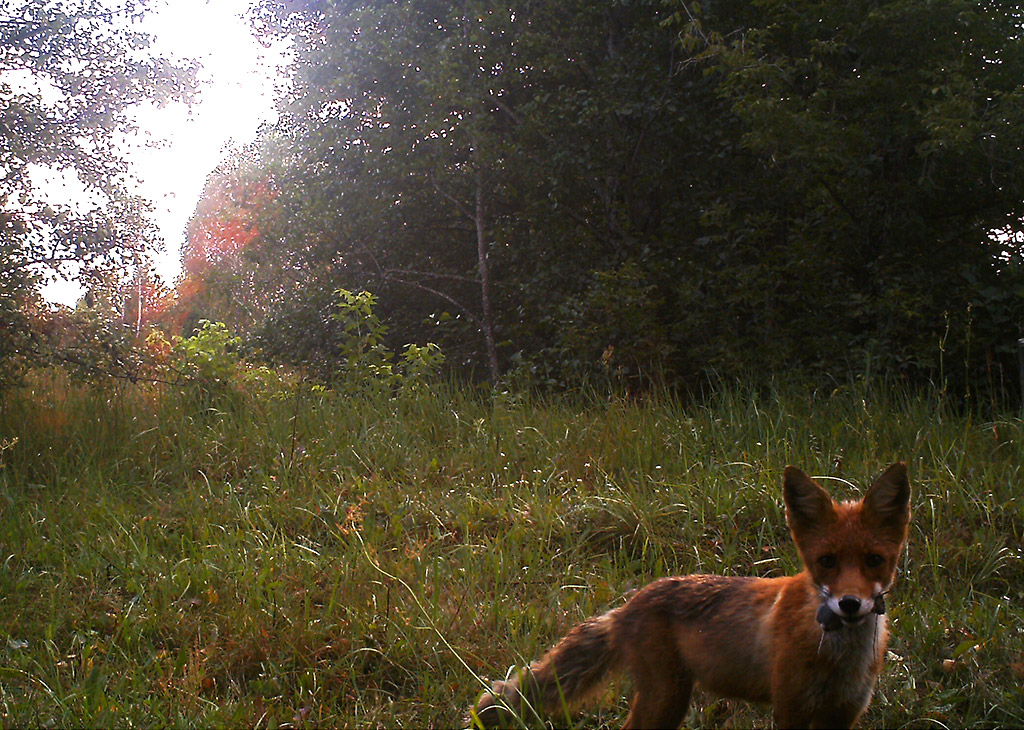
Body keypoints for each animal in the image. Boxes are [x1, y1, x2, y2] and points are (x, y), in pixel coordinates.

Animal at [471, 464, 913, 724]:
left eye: (874, 560)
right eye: (827, 562)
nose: (850, 604)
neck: (838, 657)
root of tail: (627, 606)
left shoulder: (845, 712)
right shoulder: (790, 706)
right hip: (666, 698)